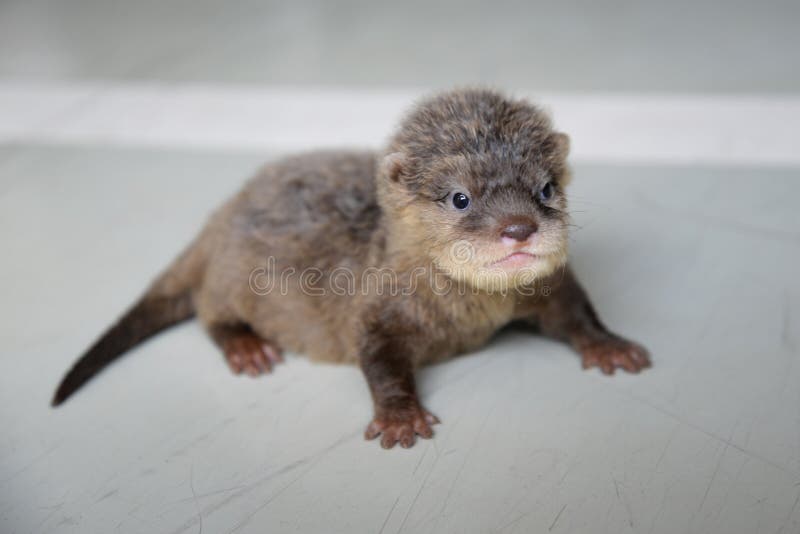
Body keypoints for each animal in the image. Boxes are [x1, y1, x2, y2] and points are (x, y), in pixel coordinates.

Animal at [50, 90, 648, 450]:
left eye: (546, 189)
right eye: (460, 198)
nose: (520, 227)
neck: (469, 309)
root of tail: (220, 216)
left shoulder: (545, 287)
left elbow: (574, 309)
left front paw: (608, 344)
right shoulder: (377, 306)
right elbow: (379, 357)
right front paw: (401, 417)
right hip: (229, 279)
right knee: (207, 313)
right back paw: (245, 346)